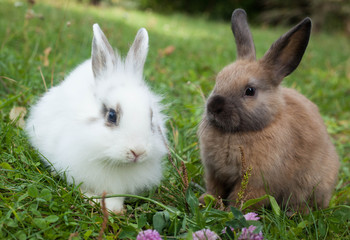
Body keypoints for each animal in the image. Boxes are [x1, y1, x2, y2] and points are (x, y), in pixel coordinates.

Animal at [198, 8, 340, 212]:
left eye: (250, 91)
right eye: (218, 80)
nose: (213, 106)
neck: (236, 133)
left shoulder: (255, 183)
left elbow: (242, 198)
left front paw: (233, 211)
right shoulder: (214, 173)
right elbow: (214, 190)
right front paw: (206, 201)